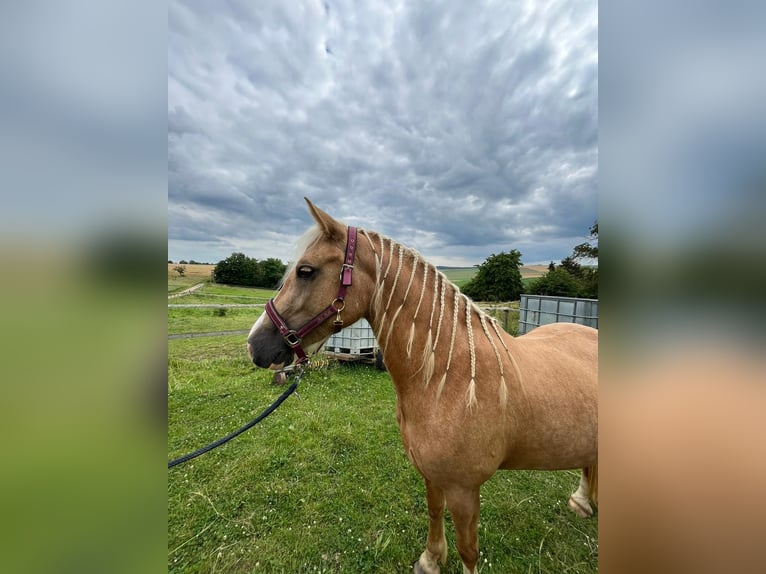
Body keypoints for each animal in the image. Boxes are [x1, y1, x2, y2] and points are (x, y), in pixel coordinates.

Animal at [249, 200, 596, 572]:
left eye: (306, 271)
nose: (255, 345)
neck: (450, 379)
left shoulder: (463, 488)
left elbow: (468, 549)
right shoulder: (431, 475)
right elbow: (433, 511)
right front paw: (430, 559)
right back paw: (582, 501)